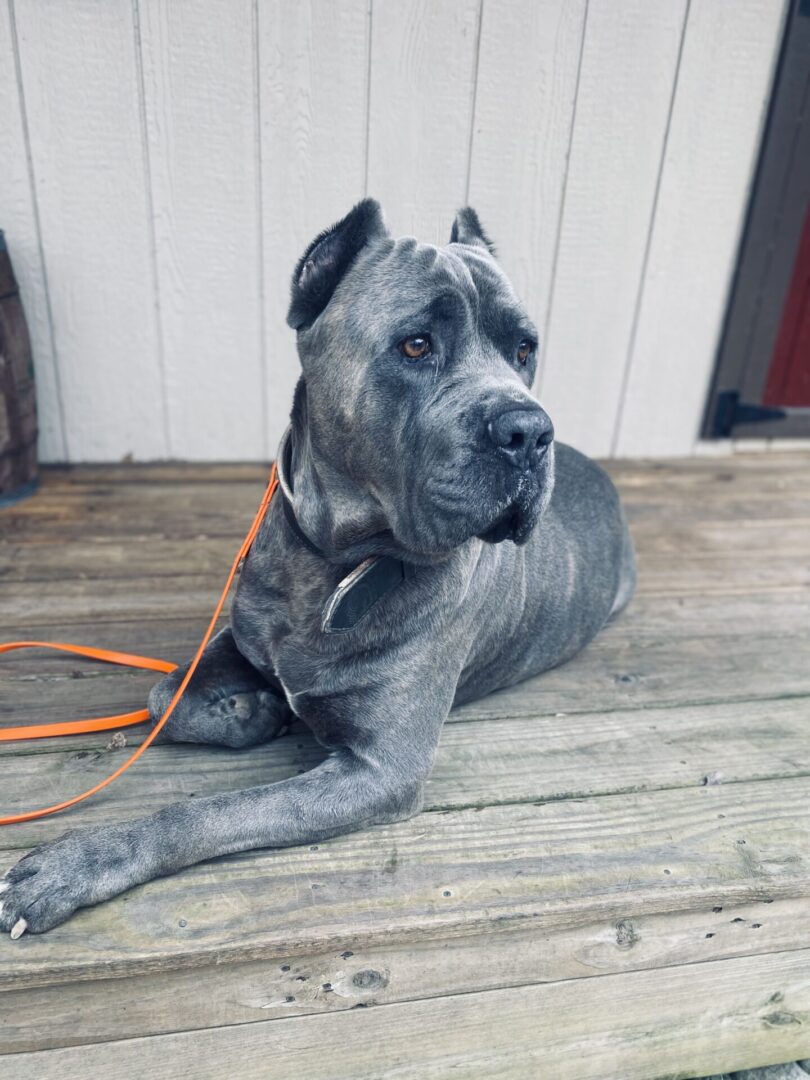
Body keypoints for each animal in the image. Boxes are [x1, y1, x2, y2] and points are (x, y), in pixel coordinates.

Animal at [0, 200, 635, 937]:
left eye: (524, 349)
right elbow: (163, 695)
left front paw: (77, 864)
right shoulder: (239, 634)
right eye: (416, 344)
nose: (530, 432)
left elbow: (210, 811)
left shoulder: (378, 771)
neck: (333, 565)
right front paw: (250, 710)